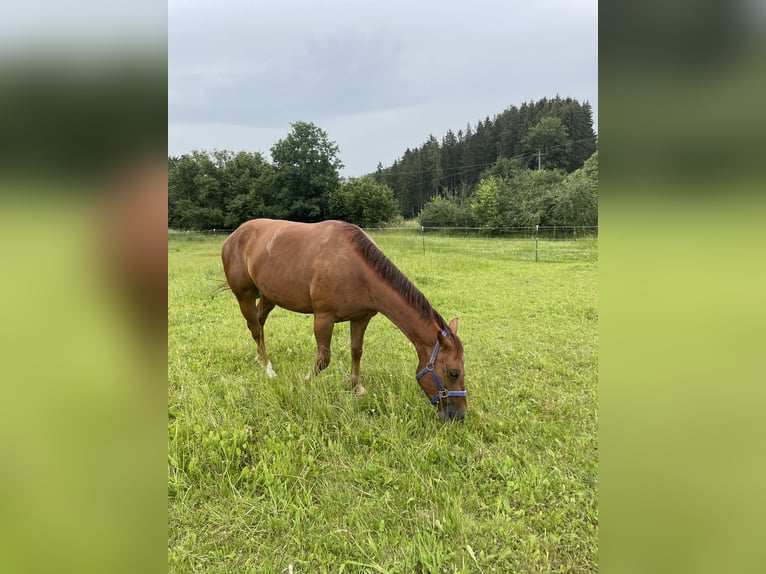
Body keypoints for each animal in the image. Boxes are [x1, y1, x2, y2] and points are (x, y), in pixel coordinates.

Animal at [222, 218, 468, 420]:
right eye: (453, 372)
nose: (459, 415)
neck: (356, 268)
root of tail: (234, 235)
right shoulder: (323, 317)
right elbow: (323, 359)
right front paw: (304, 382)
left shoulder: (361, 318)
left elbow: (356, 352)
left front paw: (357, 387)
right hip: (244, 294)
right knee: (255, 327)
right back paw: (267, 367)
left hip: (268, 296)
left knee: (259, 323)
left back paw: (259, 357)